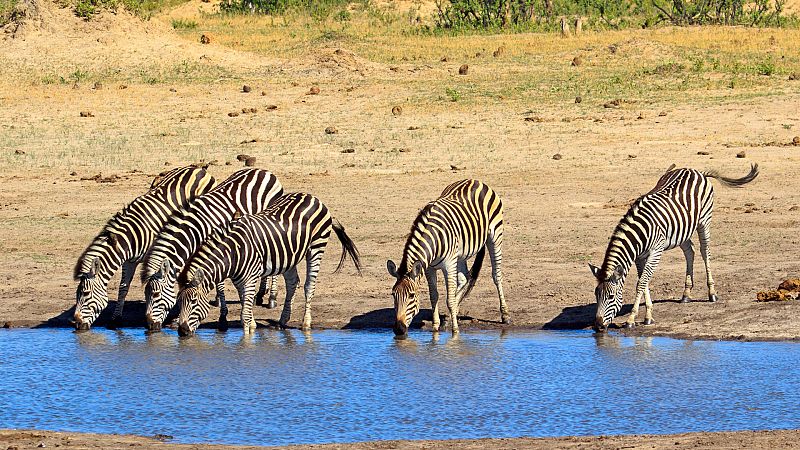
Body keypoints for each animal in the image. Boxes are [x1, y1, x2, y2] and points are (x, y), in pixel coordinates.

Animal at [72, 165, 214, 330]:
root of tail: (196, 168)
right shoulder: (129, 261)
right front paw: (116, 319)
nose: (77, 324)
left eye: (86, 293)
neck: (129, 237)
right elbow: (123, 287)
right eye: (76, 294)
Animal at [141, 168, 284, 330]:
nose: (150, 326)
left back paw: (272, 298)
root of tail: (263, 171)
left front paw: (223, 316)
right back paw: (259, 294)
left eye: (156, 294)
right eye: (145, 294)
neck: (196, 229)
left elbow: (219, 283)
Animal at [177, 192, 362, 336]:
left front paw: (247, 338)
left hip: (316, 246)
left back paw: (306, 324)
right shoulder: (239, 280)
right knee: (293, 282)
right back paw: (283, 320)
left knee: (309, 285)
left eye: (193, 302)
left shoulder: (251, 277)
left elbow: (244, 315)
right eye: (179, 302)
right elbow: (245, 303)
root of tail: (312, 196)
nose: (181, 331)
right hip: (288, 256)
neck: (233, 253)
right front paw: (253, 324)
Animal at [386, 180, 506, 338]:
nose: (399, 329)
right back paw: (450, 315)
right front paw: (436, 326)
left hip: (495, 236)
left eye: (411, 296)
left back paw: (505, 315)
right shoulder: (429, 267)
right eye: (393, 294)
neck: (434, 239)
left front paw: (455, 331)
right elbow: (434, 296)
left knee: (496, 275)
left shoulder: (448, 265)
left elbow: (449, 299)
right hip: (460, 254)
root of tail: (475, 180)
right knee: (464, 279)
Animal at [592, 163, 760, 332]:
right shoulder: (640, 257)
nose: (598, 326)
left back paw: (712, 293)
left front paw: (631, 318)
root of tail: (697, 171)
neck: (640, 233)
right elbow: (644, 282)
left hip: (704, 220)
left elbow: (641, 283)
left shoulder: (656, 251)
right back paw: (686, 294)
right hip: (682, 229)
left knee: (705, 251)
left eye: (611, 297)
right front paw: (648, 316)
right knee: (690, 251)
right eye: (595, 294)